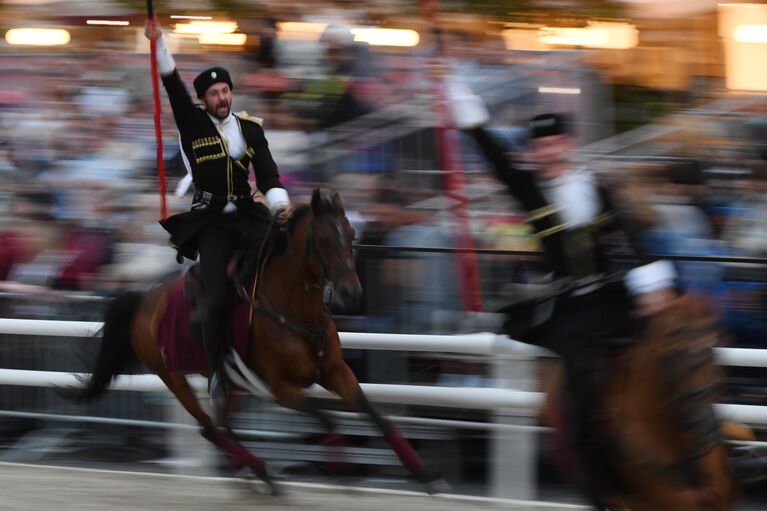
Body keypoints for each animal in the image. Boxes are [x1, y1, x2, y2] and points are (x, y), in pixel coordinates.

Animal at [67, 189, 444, 496]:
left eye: (350, 233)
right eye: (323, 240)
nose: (352, 293)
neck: (294, 310)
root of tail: (145, 299)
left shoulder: (337, 373)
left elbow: (377, 416)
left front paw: (423, 472)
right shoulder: (282, 389)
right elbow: (328, 420)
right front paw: (344, 470)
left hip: (232, 386)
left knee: (221, 426)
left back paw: (251, 476)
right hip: (174, 378)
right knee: (211, 429)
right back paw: (262, 474)